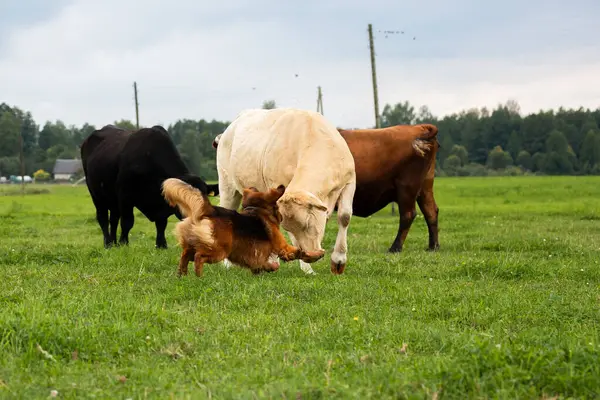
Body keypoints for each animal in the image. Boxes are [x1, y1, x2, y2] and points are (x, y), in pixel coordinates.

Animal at [81, 124, 218, 250]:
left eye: (205, 195)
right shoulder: (125, 196)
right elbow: (127, 222)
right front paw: (124, 243)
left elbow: (161, 223)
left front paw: (161, 245)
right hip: (96, 195)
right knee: (103, 218)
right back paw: (108, 243)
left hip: (112, 200)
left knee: (113, 219)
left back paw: (114, 243)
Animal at [162, 177, 326, 276]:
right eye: (278, 208)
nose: (281, 217)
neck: (257, 209)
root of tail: (210, 210)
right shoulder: (282, 247)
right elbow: (300, 252)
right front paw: (317, 254)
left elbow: (264, 264)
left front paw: (267, 269)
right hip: (219, 250)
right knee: (198, 257)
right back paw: (198, 276)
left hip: (193, 244)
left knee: (184, 256)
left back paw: (182, 275)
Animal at [216, 106, 356, 276]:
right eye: (290, 229)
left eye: (308, 222)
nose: (311, 256)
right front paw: (307, 269)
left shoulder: (350, 181)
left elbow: (344, 216)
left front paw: (338, 260)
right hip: (227, 187)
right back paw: (228, 264)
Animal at [338, 123, 440, 253]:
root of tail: (418, 127)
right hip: (425, 187)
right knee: (431, 212)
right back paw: (433, 246)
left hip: (406, 187)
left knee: (408, 215)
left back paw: (395, 247)